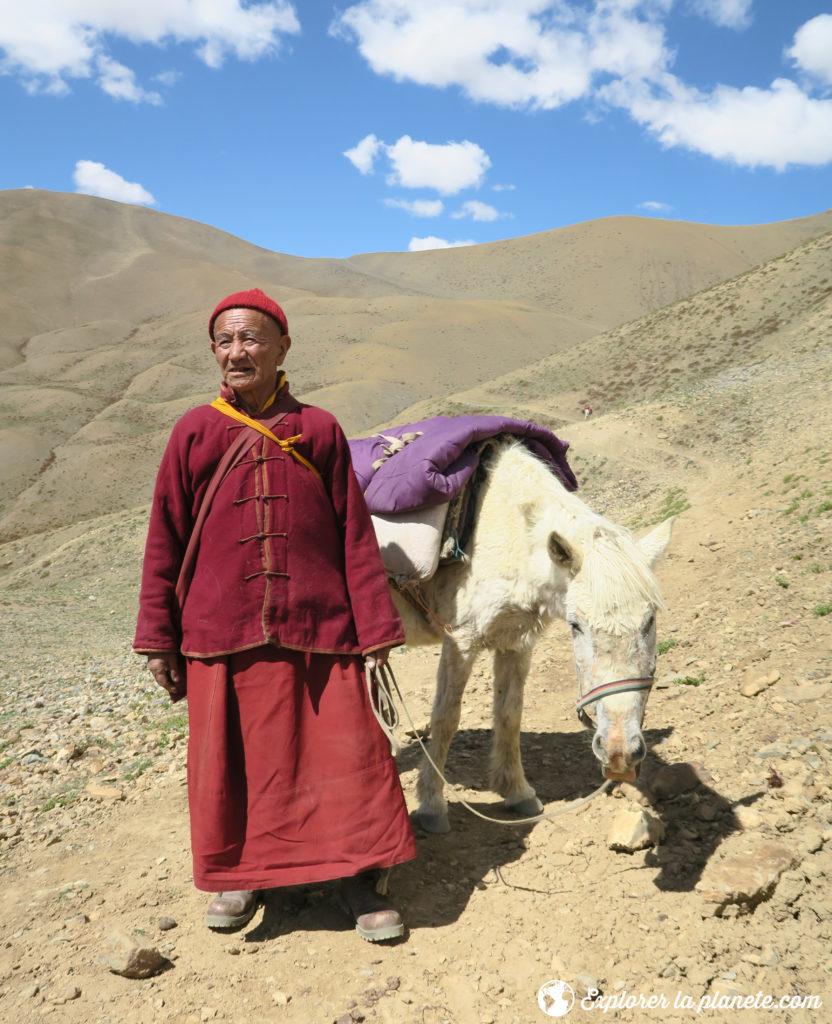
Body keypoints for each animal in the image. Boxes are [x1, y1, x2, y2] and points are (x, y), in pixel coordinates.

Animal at [389, 440, 668, 831]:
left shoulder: (514, 641)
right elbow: (446, 718)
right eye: (576, 625)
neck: (509, 532)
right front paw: (431, 806)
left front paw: (517, 792)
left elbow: (509, 715)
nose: (619, 752)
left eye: (649, 621)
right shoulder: (461, 641)